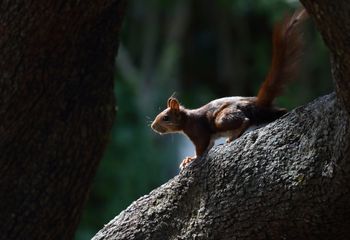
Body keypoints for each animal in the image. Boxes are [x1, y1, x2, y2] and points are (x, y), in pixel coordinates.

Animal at [150, 8, 306, 170]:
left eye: (166, 118)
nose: (153, 127)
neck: (187, 119)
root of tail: (257, 102)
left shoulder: (199, 131)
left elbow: (201, 148)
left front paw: (191, 159)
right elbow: (209, 145)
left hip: (222, 118)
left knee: (245, 120)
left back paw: (232, 137)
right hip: (265, 112)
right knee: (278, 112)